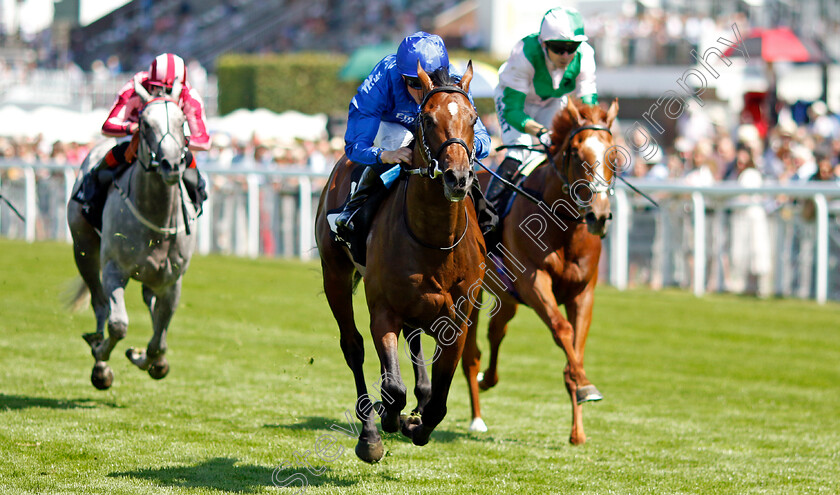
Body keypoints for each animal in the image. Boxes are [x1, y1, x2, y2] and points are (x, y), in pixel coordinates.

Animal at [67, 80, 199, 392]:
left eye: (182, 122)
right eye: (145, 123)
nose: (171, 164)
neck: (156, 216)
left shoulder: (172, 280)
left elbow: (159, 340)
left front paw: (148, 359)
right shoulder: (114, 268)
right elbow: (118, 324)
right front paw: (101, 355)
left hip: (153, 275)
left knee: (151, 303)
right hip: (84, 247)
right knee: (100, 304)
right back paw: (100, 361)